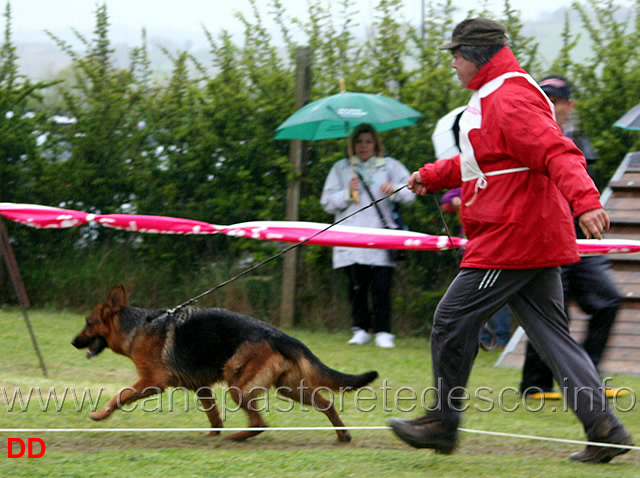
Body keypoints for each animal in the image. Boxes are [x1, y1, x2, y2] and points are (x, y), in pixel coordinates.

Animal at [72, 286, 378, 442]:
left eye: (88, 323)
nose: (73, 342)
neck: (137, 326)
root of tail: (281, 335)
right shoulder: (201, 387)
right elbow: (213, 413)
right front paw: (214, 431)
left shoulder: (151, 382)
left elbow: (120, 395)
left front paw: (99, 414)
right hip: (289, 388)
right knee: (326, 403)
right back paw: (343, 435)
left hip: (238, 386)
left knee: (259, 423)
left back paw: (237, 438)